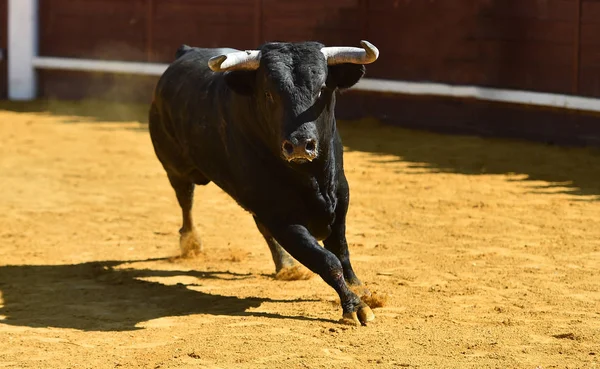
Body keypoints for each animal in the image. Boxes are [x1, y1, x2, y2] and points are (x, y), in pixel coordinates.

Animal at [150, 38, 382, 324]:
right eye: (269, 94)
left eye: (321, 90)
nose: (299, 145)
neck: (312, 178)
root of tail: (185, 53)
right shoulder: (283, 219)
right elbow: (326, 260)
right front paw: (356, 306)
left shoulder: (340, 201)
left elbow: (341, 251)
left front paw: (362, 290)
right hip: (175, 168)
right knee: (186, 201)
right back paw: (191, 243)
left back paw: (287, 266)